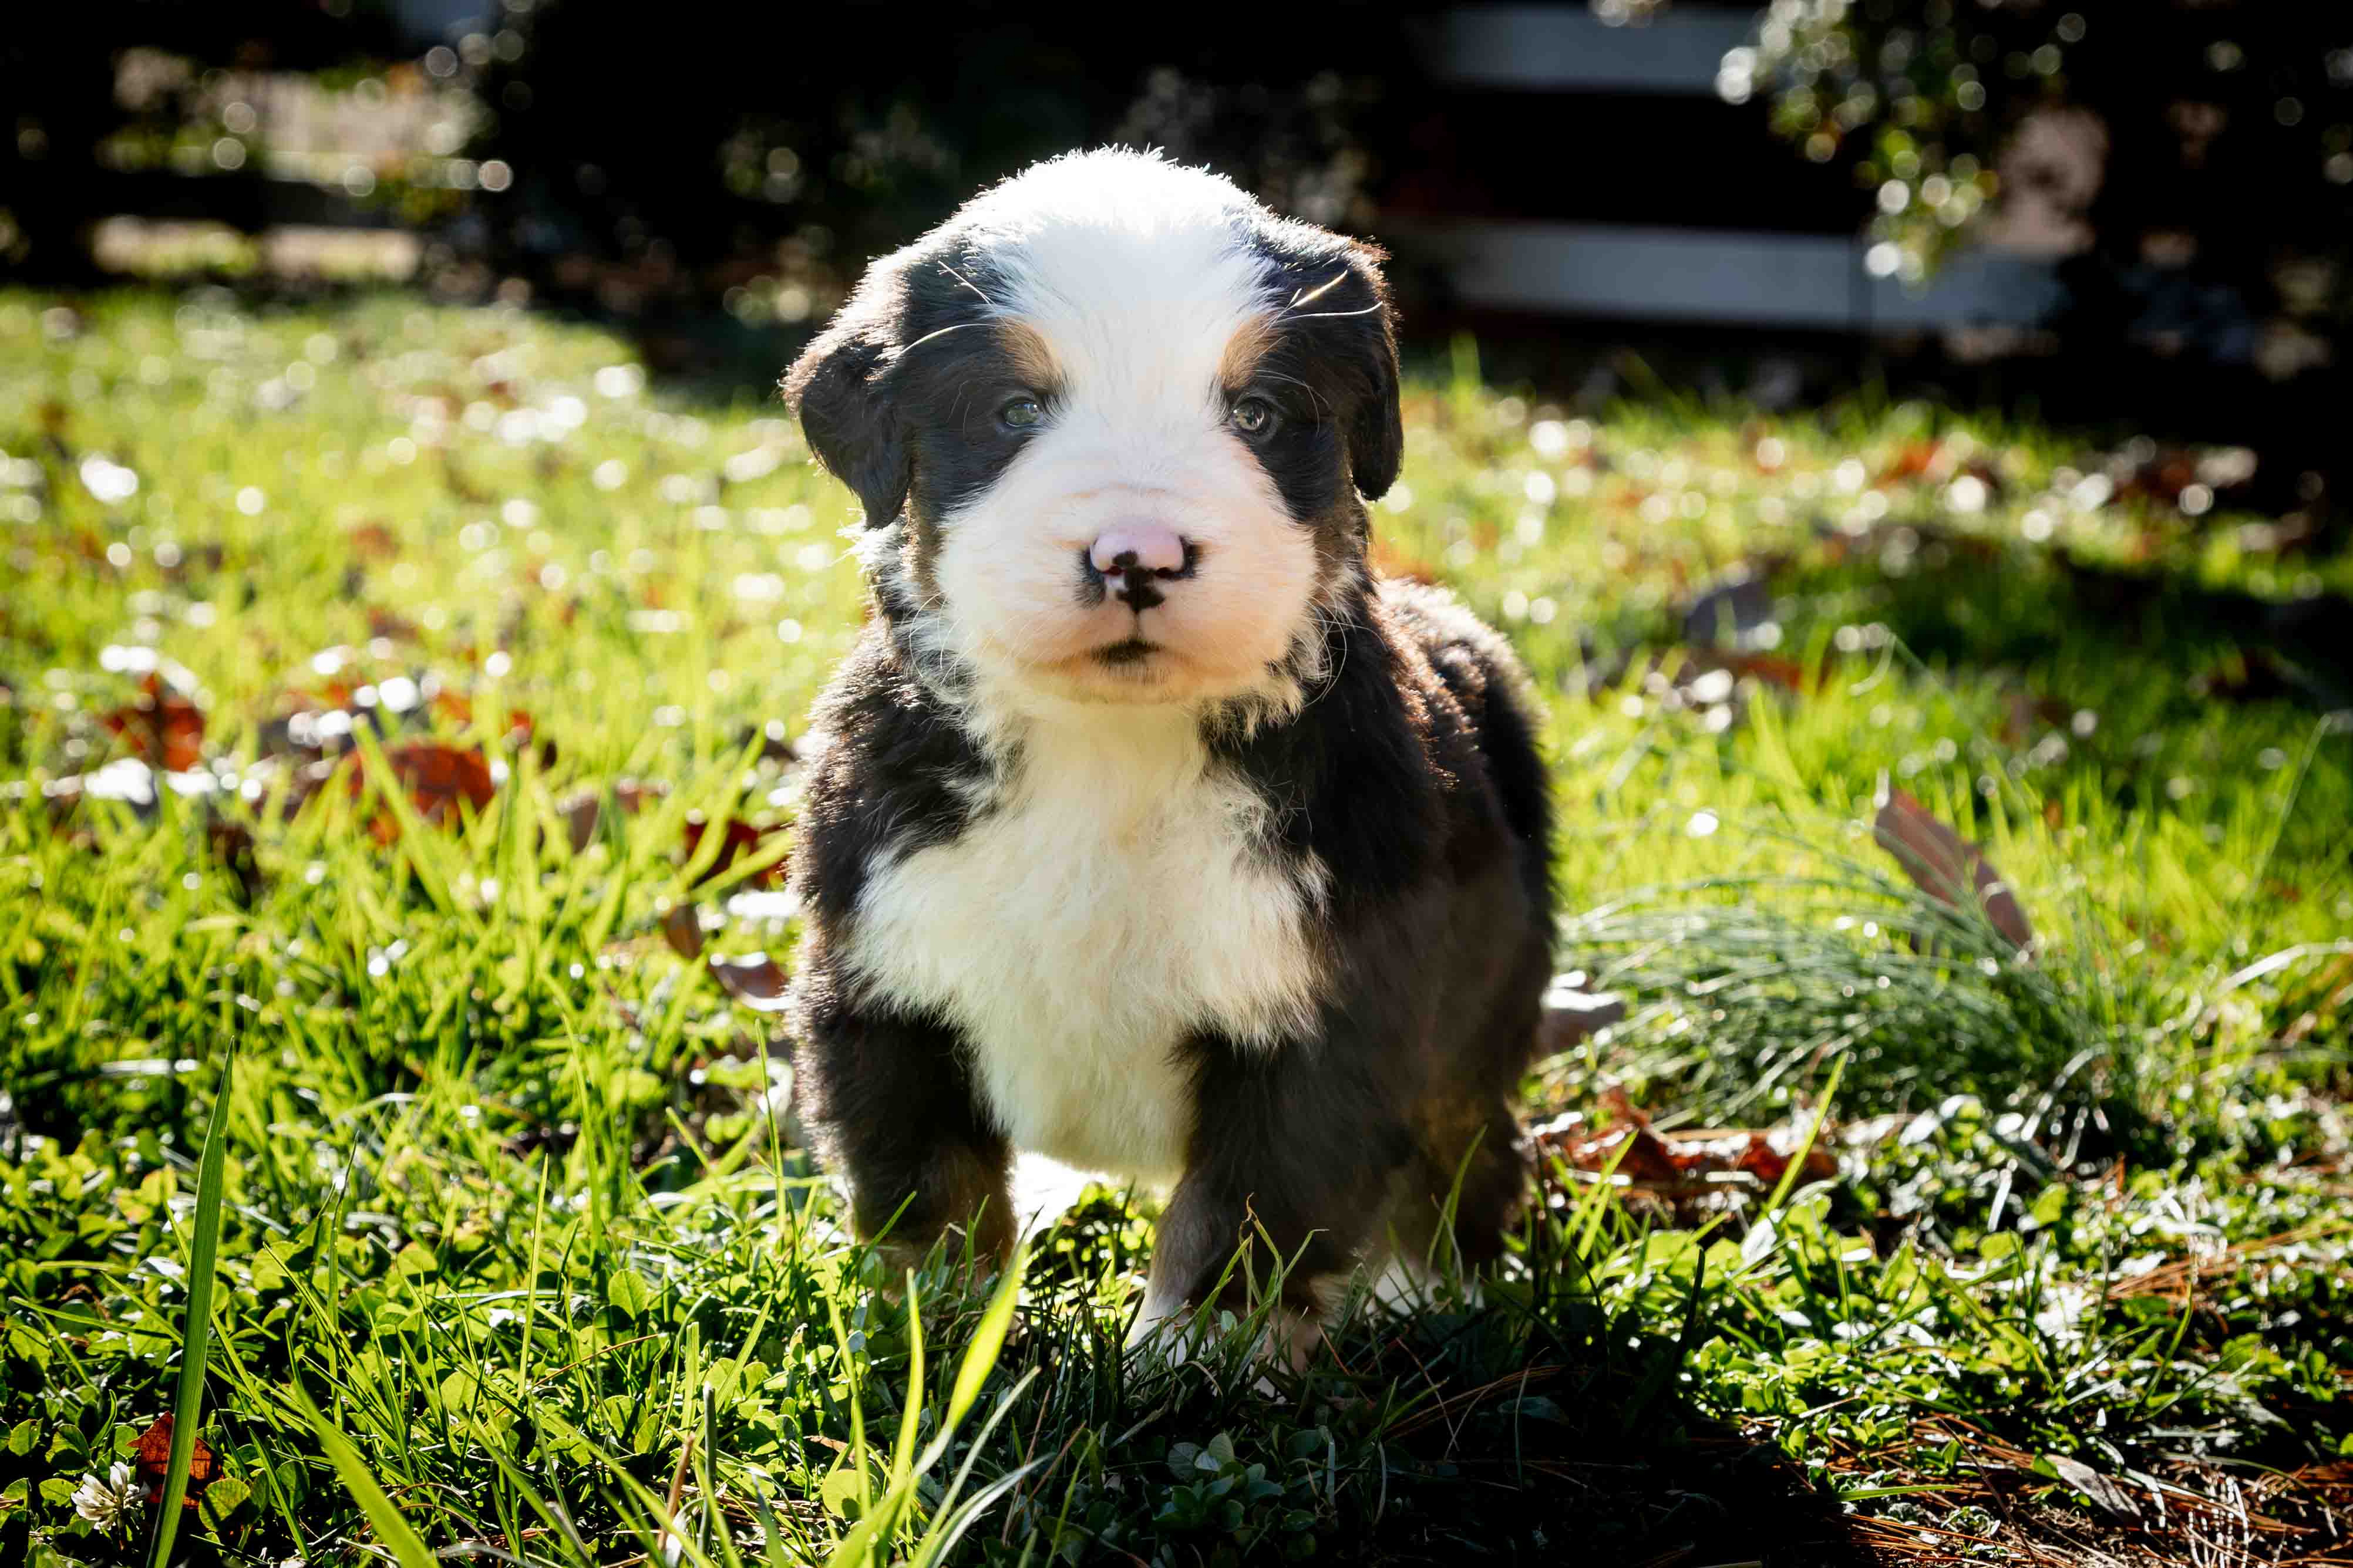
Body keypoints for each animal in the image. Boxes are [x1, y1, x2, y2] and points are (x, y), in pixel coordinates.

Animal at [781, 144, 1553, 1354]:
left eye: (1258, 412)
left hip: (1485, 1011)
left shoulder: (1318, 1014)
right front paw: (934, 1344)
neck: (1112, 754)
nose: (1137, 554)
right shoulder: (883, 984)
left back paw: (1426, 1298)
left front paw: (1191, 1368)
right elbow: (928, 1194)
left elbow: (1240, 1223)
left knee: (1460, 1154)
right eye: (1012, 410)